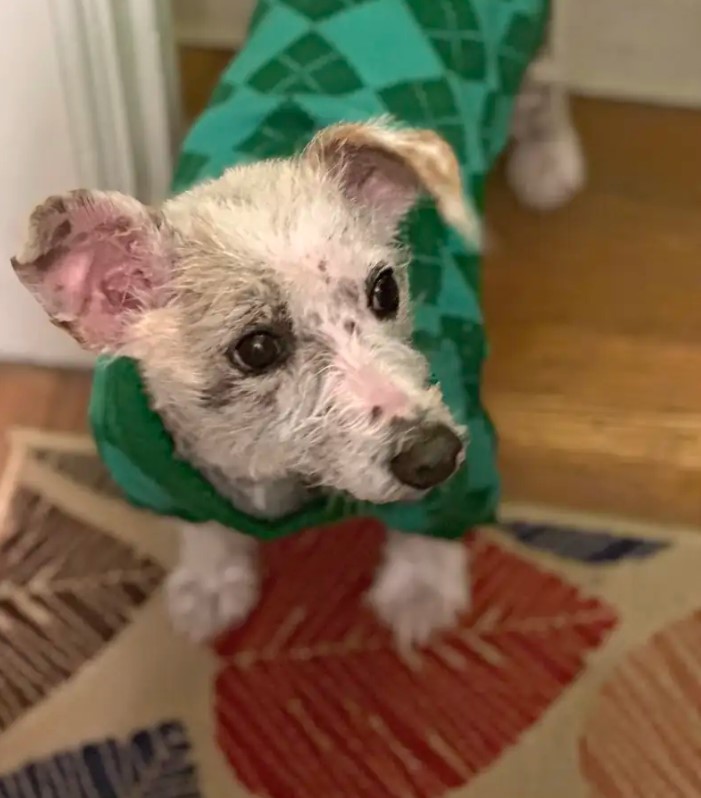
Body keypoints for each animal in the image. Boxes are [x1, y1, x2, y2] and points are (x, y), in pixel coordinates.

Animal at [10, 0, 584, 652]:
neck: (266, 464)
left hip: (532, 50)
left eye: (385, 289)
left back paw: (550, 163)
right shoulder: (157, 472)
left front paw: (421, 592)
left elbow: (431, 523)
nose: (436, 455)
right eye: (257, 348)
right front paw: (210, 585)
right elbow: (206, 531)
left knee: (546, 90)